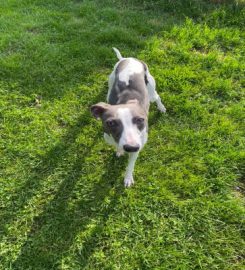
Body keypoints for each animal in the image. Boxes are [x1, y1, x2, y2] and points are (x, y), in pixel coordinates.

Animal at [91, 48, 166, 188]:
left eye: (140, 120)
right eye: (110, 123)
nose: (131, 147)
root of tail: (128, 58)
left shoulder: (138, 146)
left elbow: (130, 165)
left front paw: (128, 178)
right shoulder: (110, 138)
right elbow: (117, 146)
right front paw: (120, 151)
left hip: (151, 89)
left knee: (157, 97)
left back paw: (161, 107)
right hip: (111, 80)